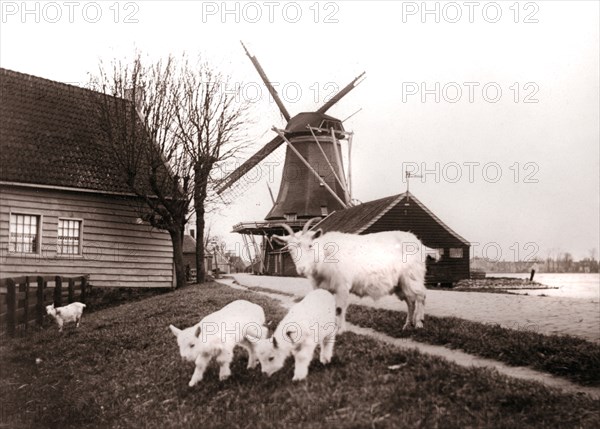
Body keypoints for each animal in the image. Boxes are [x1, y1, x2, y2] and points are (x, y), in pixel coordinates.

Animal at [272, 217, 436, 332]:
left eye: (310, 245)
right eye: (290, 249)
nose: (302, 268)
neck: (325, 255)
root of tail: (420, 244)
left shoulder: (342, 286)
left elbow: (339, 309)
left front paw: (340, 331)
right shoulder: (321, 287)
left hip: (412, 276)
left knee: (421, 296)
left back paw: (419, 323)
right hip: (401, 283)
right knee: (410, 301)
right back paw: (408, 325)